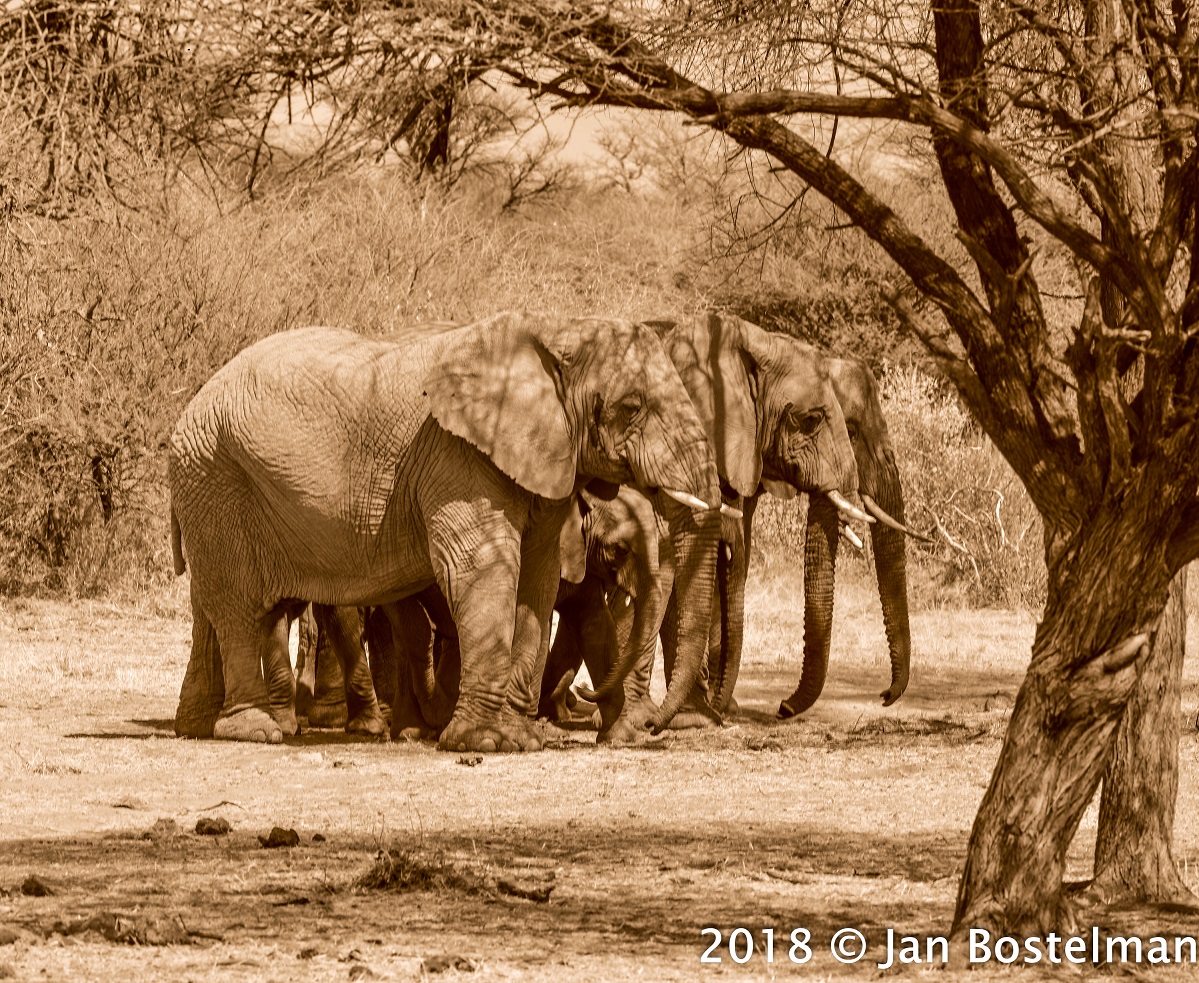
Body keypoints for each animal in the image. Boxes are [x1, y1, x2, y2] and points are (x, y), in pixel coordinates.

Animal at [167, 312, 722, 751]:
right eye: (632, 407)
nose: (654, 729)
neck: (554, 329)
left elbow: (538, 580)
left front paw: (525, 739)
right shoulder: (458, 454)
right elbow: (481, 567)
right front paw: (486, 743)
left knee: (216, 604)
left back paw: (199, 727)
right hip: (216, 473)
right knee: (239, 605)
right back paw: (257, 731)